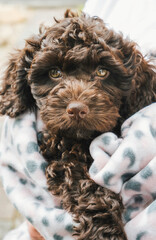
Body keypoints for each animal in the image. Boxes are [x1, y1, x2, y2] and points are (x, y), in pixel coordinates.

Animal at [0, 9, 156, 240]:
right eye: (54, 73)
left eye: (102, 71)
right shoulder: (58, 150)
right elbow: (81, 179)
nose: (76, 109)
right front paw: (106, 232)